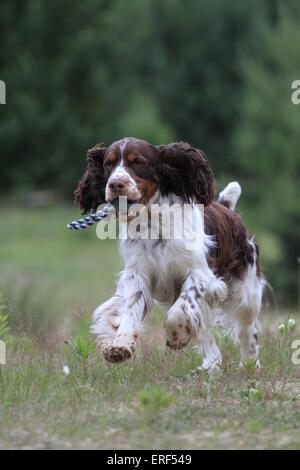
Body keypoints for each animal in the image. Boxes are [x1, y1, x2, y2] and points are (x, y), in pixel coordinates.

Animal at [74, 136, 264, 370]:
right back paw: (210, 366)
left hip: (246, 292)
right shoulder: (138, 275)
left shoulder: (200, 275)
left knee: (247, 329)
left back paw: (249, 364)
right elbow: (130, 310)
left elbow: (178, 311)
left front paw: (176, 337)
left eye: (138, 162)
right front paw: (120, 346)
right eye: (108, 164)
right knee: (207, 335)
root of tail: (226, 207)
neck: (155, 224)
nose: (116, 184)